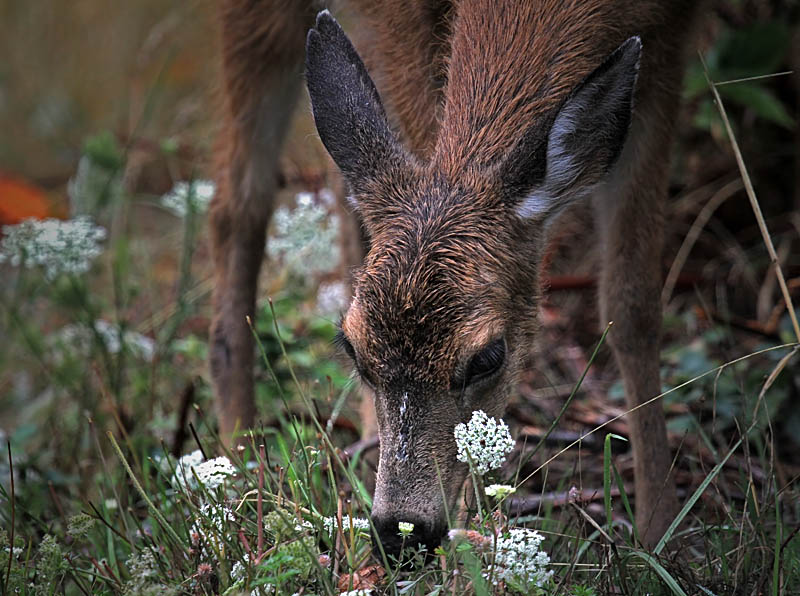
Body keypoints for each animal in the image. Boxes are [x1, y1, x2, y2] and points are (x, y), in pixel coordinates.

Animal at [209, 2, 704, 556]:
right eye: (352, 349)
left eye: (489, 357)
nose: (401, 530)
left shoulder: (672, 31)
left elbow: (633, 302)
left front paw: (661, 531)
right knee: (236, 203)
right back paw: (233, 467)